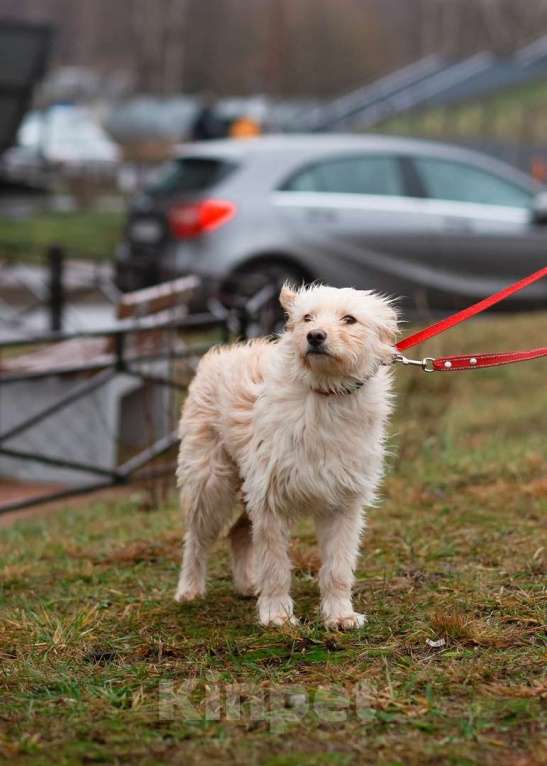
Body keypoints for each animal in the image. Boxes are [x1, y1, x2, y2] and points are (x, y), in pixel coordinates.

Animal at [176, 284, 398, 632]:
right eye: (307, 318)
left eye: (349, 319)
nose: (315, 336)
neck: (325, 394)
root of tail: (224, 352)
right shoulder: (269, 500)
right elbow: (275, 565)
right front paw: (277, 615)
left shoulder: (344, 504)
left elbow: (337, 567)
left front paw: (340, 615)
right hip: (209, 484)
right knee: (197, 539)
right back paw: (190, 589)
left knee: (238, 533)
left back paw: (247, 584)